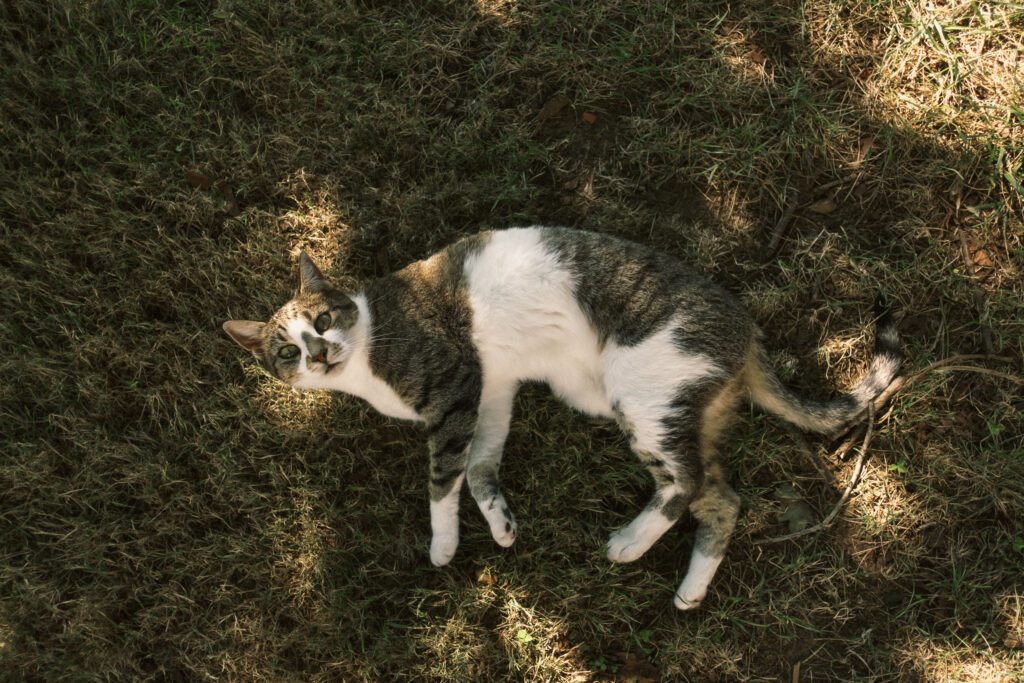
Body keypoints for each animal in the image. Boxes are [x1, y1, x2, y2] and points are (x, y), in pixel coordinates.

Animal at [222, 227, 897, 610]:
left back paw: (629, 543)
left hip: (642, 399)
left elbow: (442, 479)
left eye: (323, 321)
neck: (366, 357)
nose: (318, 353)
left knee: (687, 484)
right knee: (724, 496)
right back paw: (690, 589)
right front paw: (500, 526)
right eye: (287, 353)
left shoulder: (458, 389)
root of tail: (748, 329)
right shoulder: (493, 391)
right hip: (676, 408)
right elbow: (480, 468)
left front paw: (444, 543)